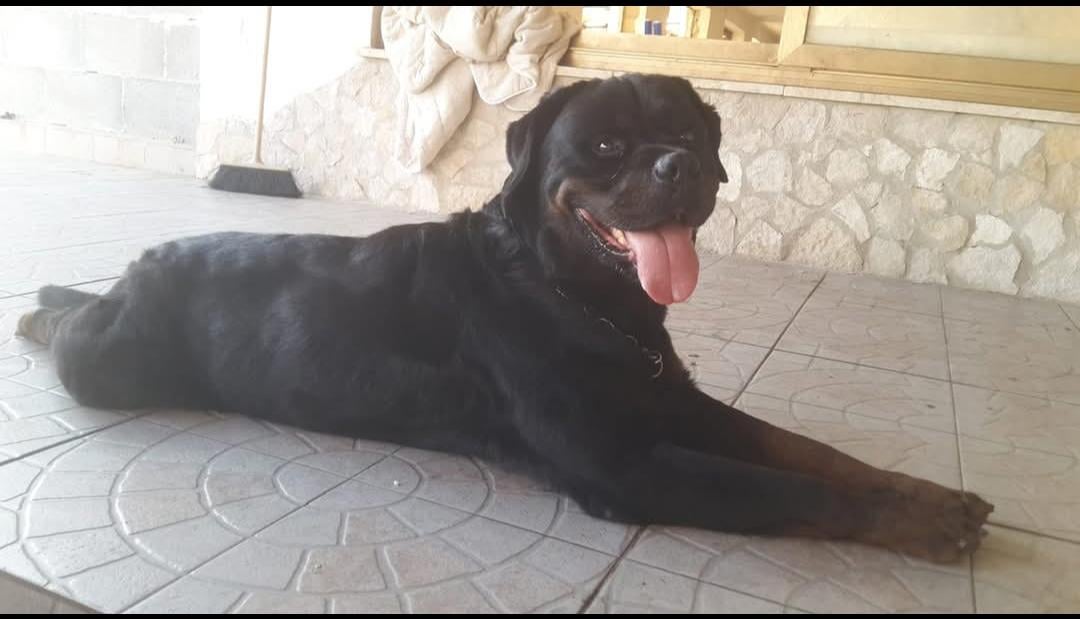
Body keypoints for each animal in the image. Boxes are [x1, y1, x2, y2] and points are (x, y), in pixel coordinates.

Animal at [18, 74, 992, 563]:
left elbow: (808, 451)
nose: (680, 164)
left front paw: (928, 495)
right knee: (73, 336)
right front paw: (920, 526)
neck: (576, 296)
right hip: (109, 362)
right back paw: (40, 314)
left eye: (693, 133)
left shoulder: (677, 403)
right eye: (606, 144)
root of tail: (140, 265)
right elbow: (787, 487)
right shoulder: (624, 461)